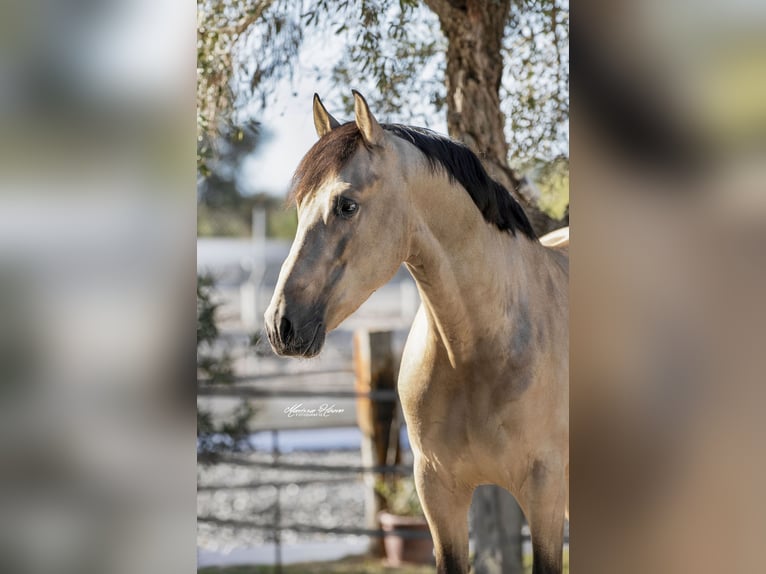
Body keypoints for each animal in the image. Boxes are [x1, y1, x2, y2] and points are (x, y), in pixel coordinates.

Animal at [266, 92, 568, 572]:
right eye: (301, 206)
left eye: (346, 204)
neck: (481, 351)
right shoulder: (437, 491)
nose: (281, 324)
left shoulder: (545, 491)